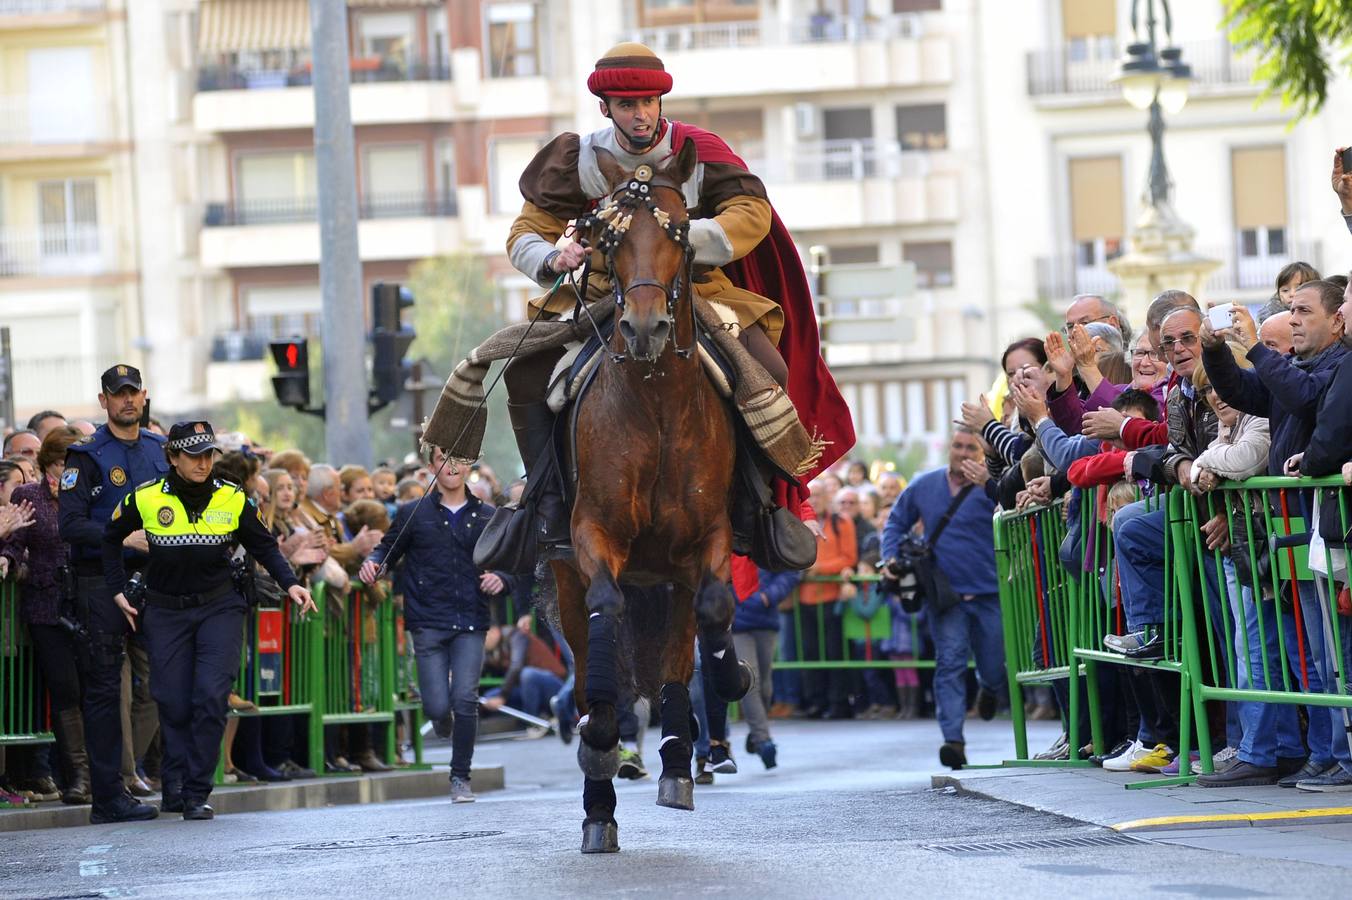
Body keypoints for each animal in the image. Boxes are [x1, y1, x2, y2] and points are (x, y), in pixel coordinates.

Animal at [554, 138, 757, 848]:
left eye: (679, 234)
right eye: (609, 240)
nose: (644, 328)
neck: (658, 406)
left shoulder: (707, 540)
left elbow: (718, 610)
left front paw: (732, 678)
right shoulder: (593, 537)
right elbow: (606, 614)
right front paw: (603, 744)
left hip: (669, 580)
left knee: (676, 657)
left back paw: (676, 758)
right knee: (592, 663)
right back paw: (599, 800)